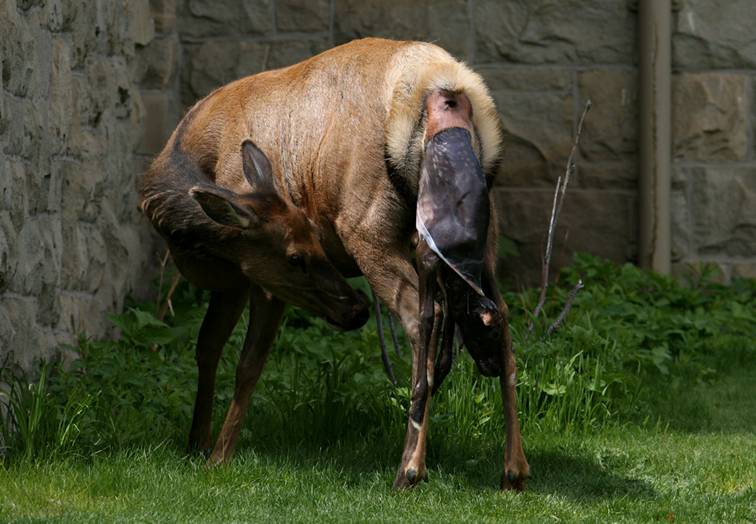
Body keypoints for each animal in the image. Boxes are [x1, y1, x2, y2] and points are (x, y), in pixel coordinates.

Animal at [143, 37, 532, 492]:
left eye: (299, 254)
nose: (356, 311)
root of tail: (444, 84)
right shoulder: (233, 282)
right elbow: (207, 348)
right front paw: (196, 442)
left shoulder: (259, 276)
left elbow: (247, 364)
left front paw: (218, 456)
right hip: (483, 235)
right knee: (499, 315)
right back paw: (513, 470)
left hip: (367, 225)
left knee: (422, 317)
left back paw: (409, 469)